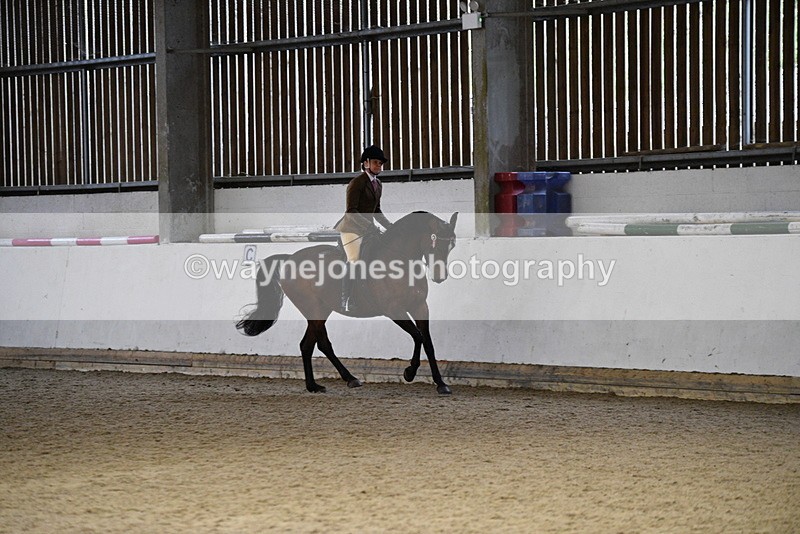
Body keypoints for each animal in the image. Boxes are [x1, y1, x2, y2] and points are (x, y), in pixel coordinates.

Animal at [236, 211, 459, 395]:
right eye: (436, 243)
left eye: (452, 246)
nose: (440, 277)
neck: (401, 261)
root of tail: (290, 258)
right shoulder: (394, 310)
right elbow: (418, 336)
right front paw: (409, 372)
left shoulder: (420, 307)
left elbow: (428, 342)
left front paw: (441, 384)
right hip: (313, 309)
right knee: (323, 344)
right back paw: (350, 379)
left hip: (320, 310)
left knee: (306, 345)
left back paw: (314, 386)